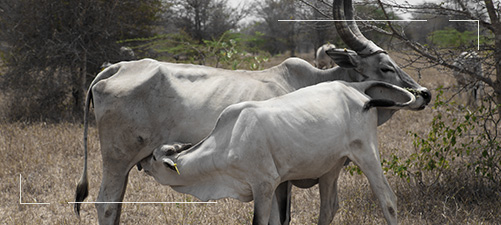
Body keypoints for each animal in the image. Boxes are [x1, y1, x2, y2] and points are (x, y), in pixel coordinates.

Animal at [138, 81, 414, 225]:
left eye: (155, 157)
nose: (141, 163)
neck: (229, 141)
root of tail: (358, 93)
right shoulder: (272, 186)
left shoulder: (263, 184)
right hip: (330, 168)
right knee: (328, 207)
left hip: (367, 153)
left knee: (388, 200)